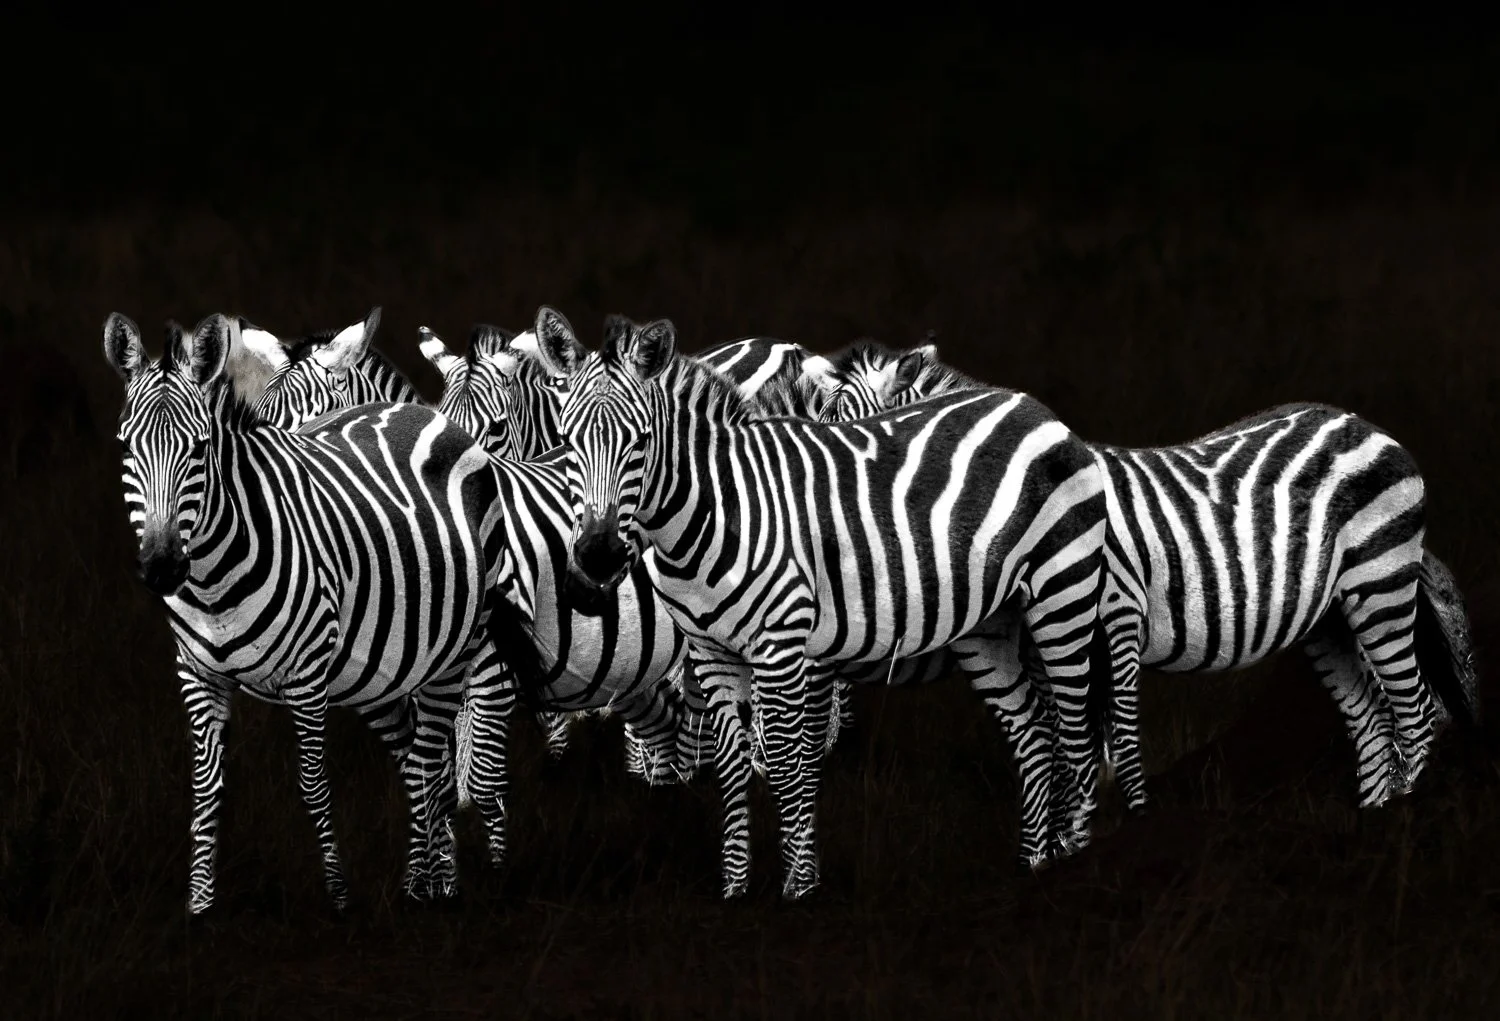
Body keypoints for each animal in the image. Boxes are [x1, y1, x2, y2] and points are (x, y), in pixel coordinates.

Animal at [103, 312, 512, 914]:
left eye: (199, 449)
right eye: (127, 447)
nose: (161, 568)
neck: (213, 581)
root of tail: (424, 415)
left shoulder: (308, 671)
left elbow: (314, 782)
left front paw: (339, 897)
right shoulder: (197, 674)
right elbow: (206, 787)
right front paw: (199, 905)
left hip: (457, 647)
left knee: (443, 758)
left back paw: (442, 884)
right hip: (386, 668)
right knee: (420, 762)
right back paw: (432, 879)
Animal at [532, 306, 1111, 899]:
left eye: (642, 442)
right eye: (569, 442)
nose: (597, 556)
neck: (712, 514)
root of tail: (1032, 407)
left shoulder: (787, 648)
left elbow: (793, 762)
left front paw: (799, 887)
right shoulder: (713, 653)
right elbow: (734, 766)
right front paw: (736, 890)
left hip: (1061, 595)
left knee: (1075, 727)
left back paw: (1074, 858)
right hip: (992, 626)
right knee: (1035, 733)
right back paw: (1034, 863)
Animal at [802, 340, 1481, 812]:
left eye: (856, 444)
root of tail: (1359, 421)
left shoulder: (1117, 617)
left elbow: (1116, 745)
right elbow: (1065, 746)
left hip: (1380, 582)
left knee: (1416, 711)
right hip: (1332, 617)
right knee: (1373, 721)